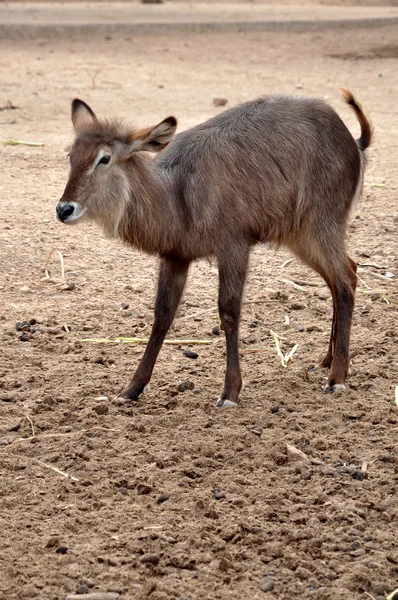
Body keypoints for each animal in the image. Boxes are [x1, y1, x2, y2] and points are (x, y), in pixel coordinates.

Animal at [56, 90, 374, 408]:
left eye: (104, 158)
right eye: (71, 156)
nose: (63, 209)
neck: (177, 194)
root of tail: (353, 141)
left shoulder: (234, 246)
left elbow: (229, 312)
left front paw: (230, 391)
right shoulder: (175, 256)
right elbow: (162, 316)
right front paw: (132, 388)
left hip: (320, 225)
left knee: (345, 280)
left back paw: (337, 377)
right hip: (300, 236)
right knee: (345, 274)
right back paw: (327, 361)